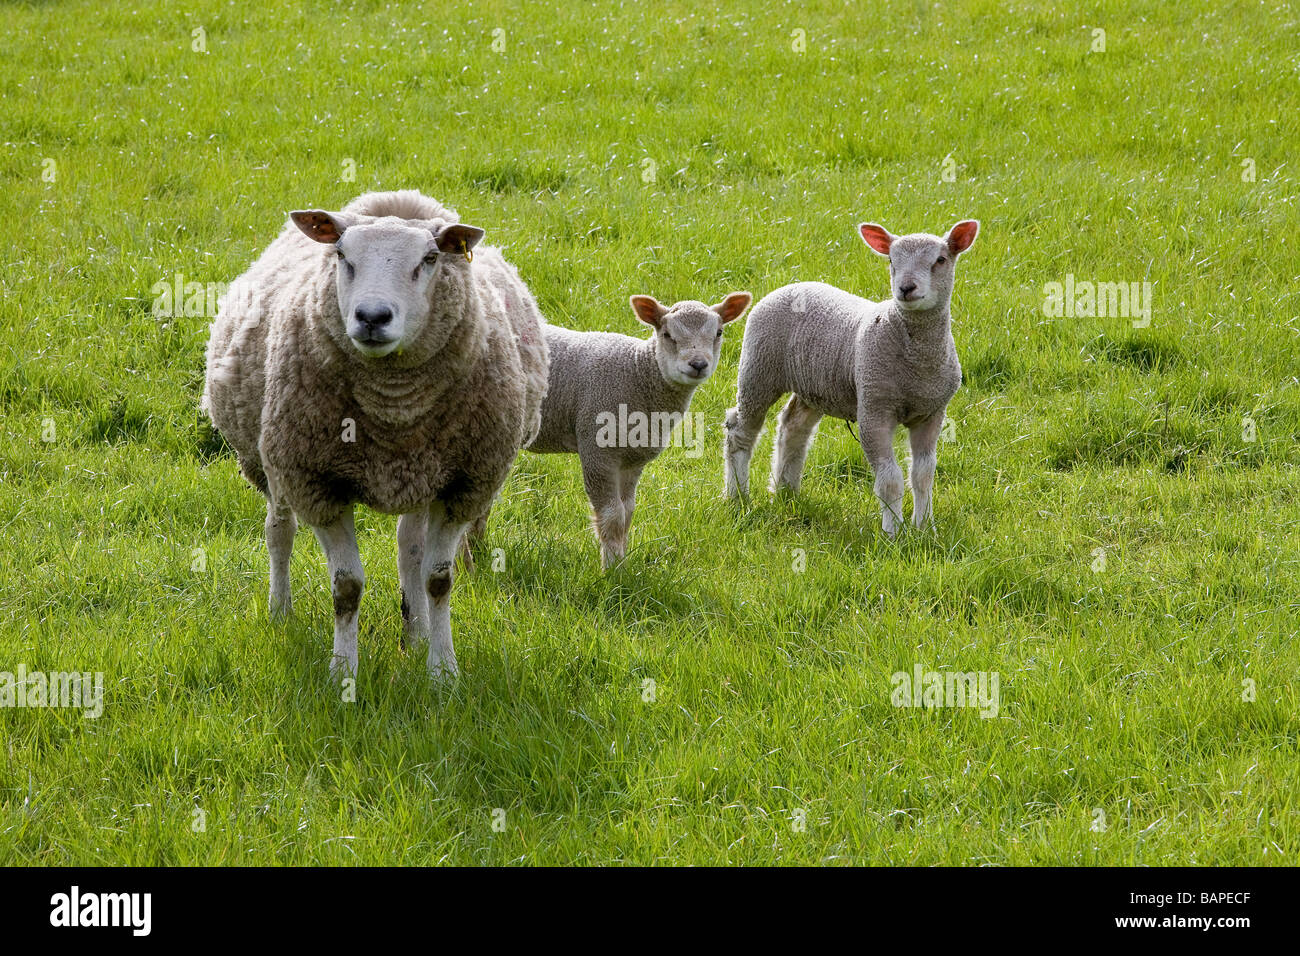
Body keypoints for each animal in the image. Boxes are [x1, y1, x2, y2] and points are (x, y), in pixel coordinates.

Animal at [201, 190, 548, 680]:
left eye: (429, 259)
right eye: (342, 256)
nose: (372, 316)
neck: (394, 409)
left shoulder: (464, 485)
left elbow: (437, 578)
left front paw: (442, 671)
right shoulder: (316, 483)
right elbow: (346, 587)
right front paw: (342, 672)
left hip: (422, 474)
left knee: (409, 548)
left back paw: (415, 633)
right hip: (271, 463)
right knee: (279, 532)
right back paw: (280, 612)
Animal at [490, 292, 751, 568]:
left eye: (719, 332)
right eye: (667, 334)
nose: (698, 364)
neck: (638, 373)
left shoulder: (633, 459)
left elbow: (627, 513)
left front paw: (621, 562)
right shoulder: (597, 450)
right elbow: (612, 515)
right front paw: (612, 568)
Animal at [722, 220, 979, 535]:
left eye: (940, 260)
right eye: (891, 260)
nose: (906, 288)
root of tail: (793, 284)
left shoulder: (932, 413)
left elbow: (923, 475)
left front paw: (923, 528)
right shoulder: (874, 410)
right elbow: (890, 479)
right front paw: (892, 532)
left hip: (815, 384)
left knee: (793, 426)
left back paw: (786, 491)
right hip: (758, 369)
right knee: (739, 431)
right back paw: (738, 495)